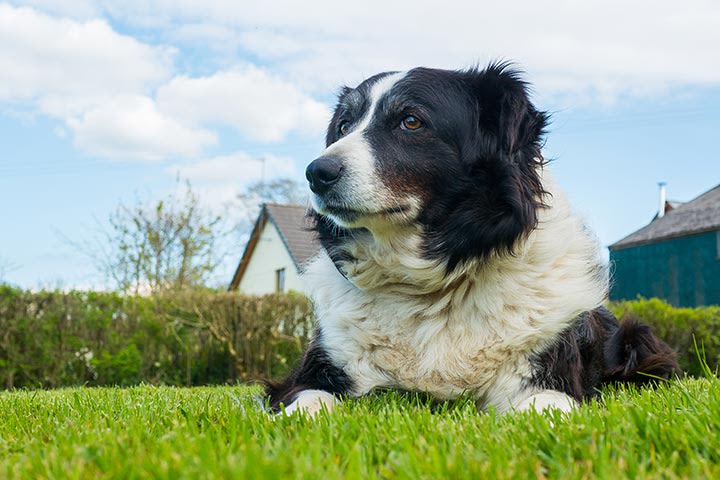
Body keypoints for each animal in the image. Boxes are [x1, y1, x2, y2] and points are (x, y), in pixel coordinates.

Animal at [262, 62, 676, 416]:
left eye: (411, 121)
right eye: (345, 126)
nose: (316, 173)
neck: (433, 287)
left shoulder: (548, 375)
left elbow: (545, 409)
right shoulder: (314, 372)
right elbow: (307, 402)